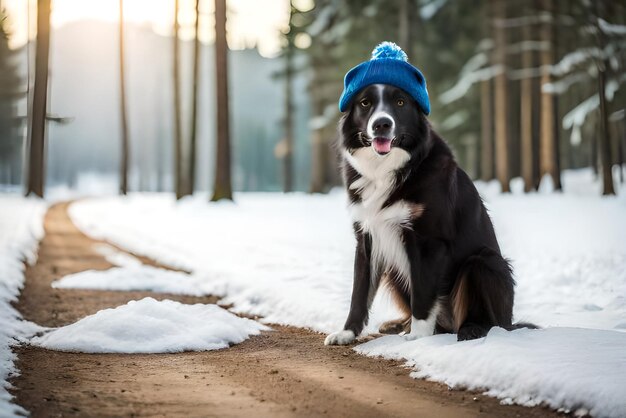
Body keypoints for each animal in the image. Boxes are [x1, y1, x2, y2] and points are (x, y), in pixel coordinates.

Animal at [324, 82, 524, 346]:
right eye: (365, 103)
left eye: (400, 102)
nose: (381, 124)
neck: (387, 169)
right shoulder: (367, 238)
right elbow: (359, 292)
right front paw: (347, 332)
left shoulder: (428, 241)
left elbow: (422, 293)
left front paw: (418, 336)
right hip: (394, 268)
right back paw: (399, 324)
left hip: (485, 262)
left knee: (491, 319)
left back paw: (470, 329)